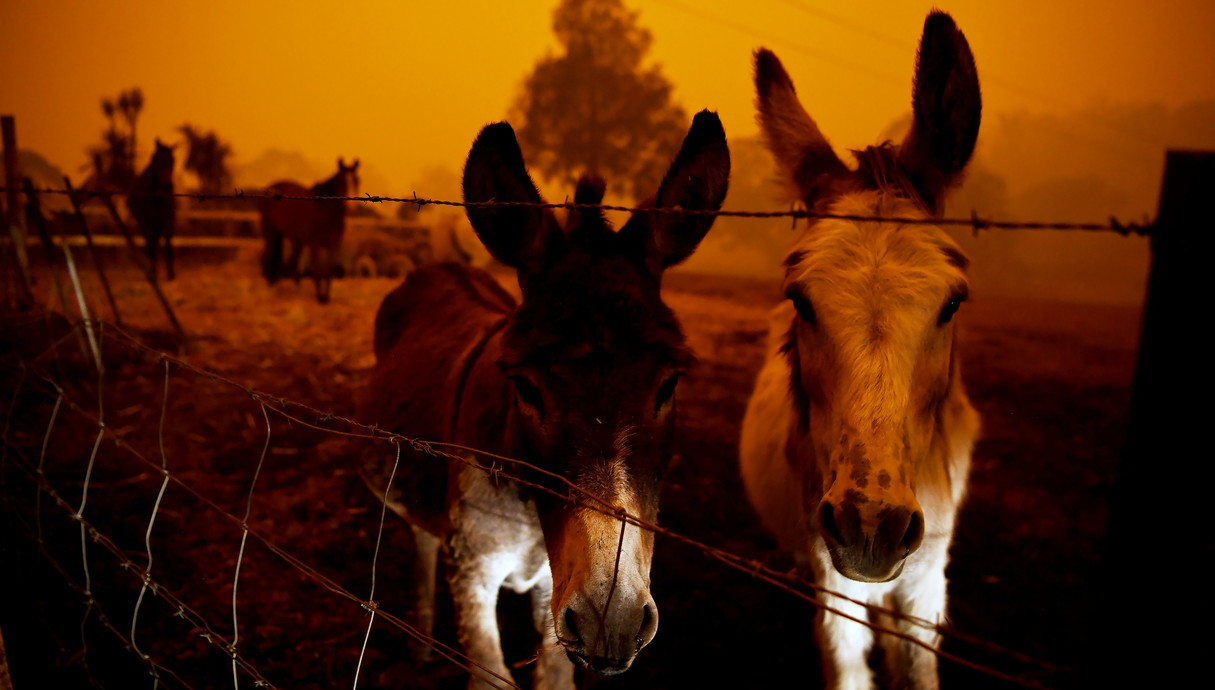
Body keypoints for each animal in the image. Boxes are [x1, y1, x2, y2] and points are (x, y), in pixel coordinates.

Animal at [126, 140, 177, 280]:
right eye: (155, 159)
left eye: (172, 160)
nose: (167, 185)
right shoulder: (149, 222)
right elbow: (152, 245)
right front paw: (154, 272)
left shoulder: (169, 221)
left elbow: (168, 247)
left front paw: (171, 275)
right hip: (143, 224)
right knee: (150, 243)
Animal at [262, 161, 359, 304]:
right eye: (342, 182)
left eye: (357, 180)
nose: (351, 208)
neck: (325, 211)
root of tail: (272, 187)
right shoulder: (315, 244)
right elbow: (317, 271)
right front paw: (320, 297)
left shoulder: (334, 244)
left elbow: (329, 271)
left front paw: (326, 297)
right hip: (271, 231)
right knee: (270, 255)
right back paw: (270, 286)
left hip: (296, 238)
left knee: (293, 259)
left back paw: (296, 288)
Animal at [359, 110, 729, 685]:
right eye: (526, 387)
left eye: (669, 384)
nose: (611, 623)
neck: (531, 505)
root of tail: (440, 265)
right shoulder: (473, 573)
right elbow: (491, 672)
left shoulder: (556, 589)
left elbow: (553, 674)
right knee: (422, 535)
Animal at [733, 10, 981, 689]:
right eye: (800, 300)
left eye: (953, 303)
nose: (870, 529)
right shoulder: (835, 578)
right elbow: (848, 662)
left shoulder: (927, 578)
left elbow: (916, 660)